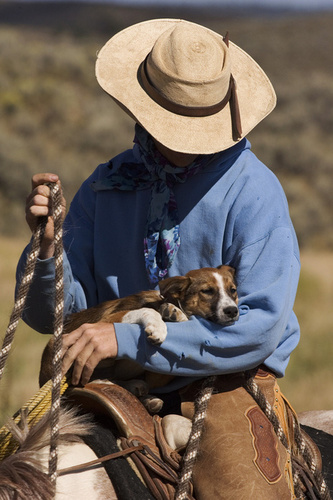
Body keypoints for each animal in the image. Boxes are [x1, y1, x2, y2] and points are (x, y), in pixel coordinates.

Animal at [39, 266, 236, 410]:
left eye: (233, 290)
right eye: (207, 291)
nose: (233, 311)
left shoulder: (155, 376)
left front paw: (175, 314)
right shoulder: (105, 321)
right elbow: (147, 310)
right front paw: (159, 325)